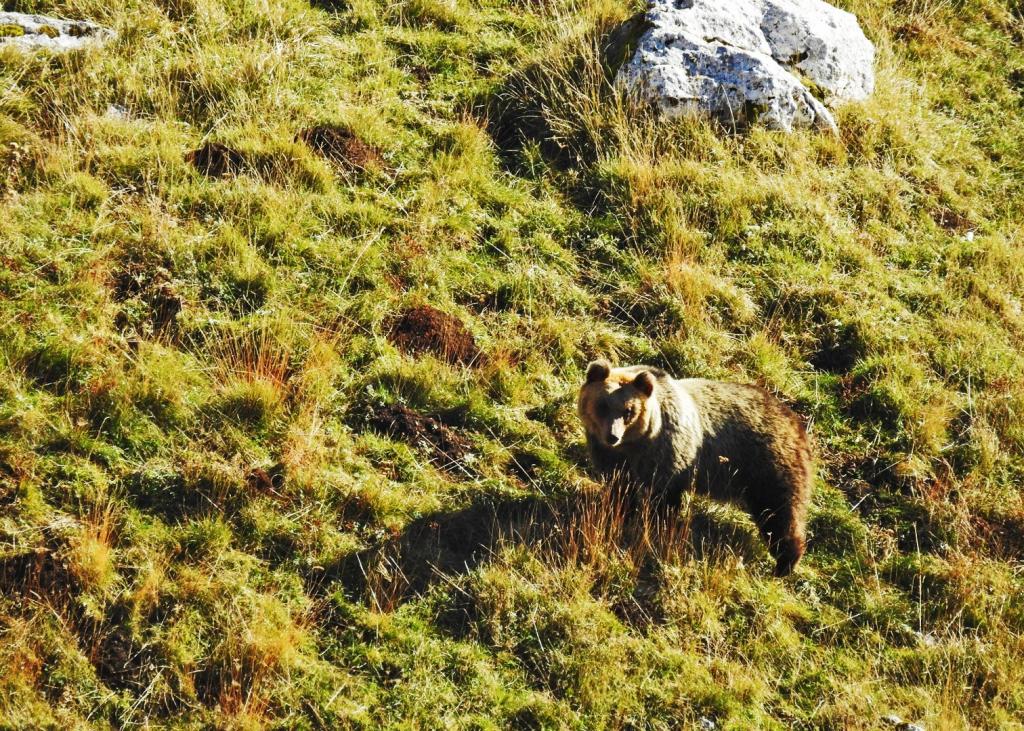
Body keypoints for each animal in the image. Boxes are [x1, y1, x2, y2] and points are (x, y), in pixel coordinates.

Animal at [581, 358, 811, 573]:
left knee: (779, 512)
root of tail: (797, 423)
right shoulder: (612, 458)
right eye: (602, 405)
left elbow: (664, 499)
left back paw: (785, 563)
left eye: (629, 410)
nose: (612, 436)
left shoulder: (669, 457)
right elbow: (620, 488)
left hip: (769, 466)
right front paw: (621, 512)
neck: (635, 445)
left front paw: (658, 525)